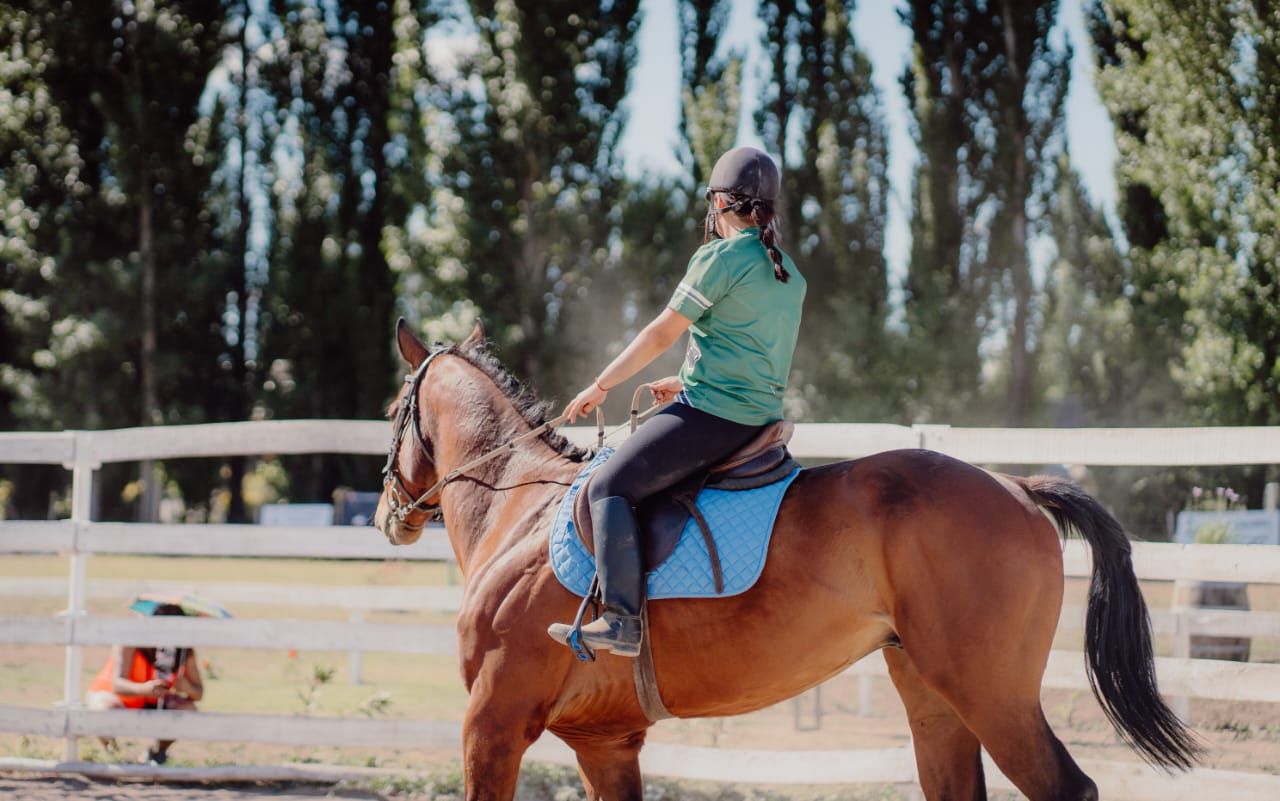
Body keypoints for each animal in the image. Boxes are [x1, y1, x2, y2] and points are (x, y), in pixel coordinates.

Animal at [373, 320, 1199, 801]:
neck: (520, 506)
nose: (388, 513)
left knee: (1067, 788)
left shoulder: (493, 721)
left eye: (390, 412)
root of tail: (1016, 485)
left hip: (992, 693)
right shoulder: (605, 740)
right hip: (935, 695)